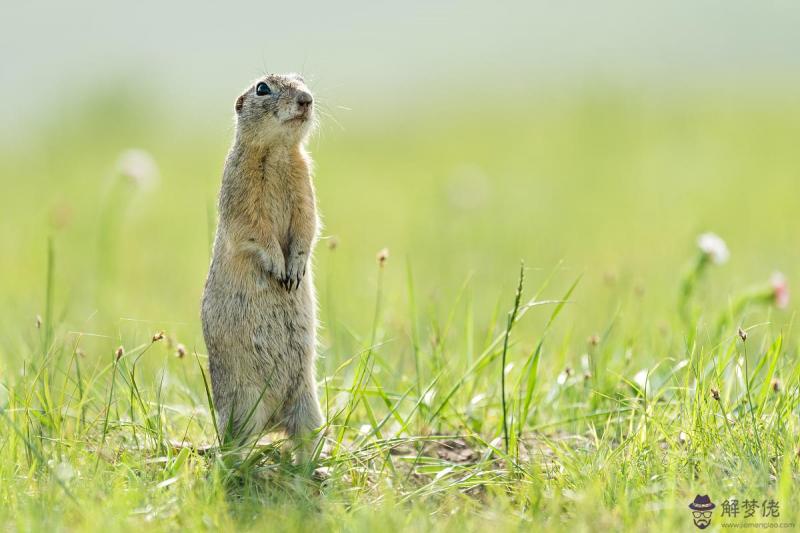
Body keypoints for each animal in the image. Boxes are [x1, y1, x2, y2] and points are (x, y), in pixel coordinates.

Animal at [200, 74, 322, 458]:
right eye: (262, 89)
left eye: (303, 79)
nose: (306, 99)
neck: (279, 152)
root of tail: (272, 422)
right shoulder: (240, 187)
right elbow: (254, 229)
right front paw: (278, 267)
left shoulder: (305, 185)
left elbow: (308, 225)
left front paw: (295, 269)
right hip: (243, 404)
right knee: (235, 445)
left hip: (308, 406)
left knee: (304, 439)